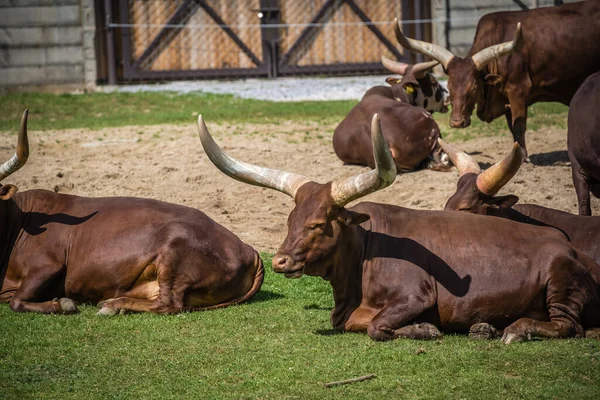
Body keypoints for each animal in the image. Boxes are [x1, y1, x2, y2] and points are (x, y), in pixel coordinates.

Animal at [0, 110, 262, 316]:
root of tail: (249, 250)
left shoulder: (47, 264)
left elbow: (17, 301)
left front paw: (61, 303)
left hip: (175, 254)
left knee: (169, 303)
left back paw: (112, 305)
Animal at [392, 0, 600, 159]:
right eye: (448, 86)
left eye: (472, 88)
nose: (457, 122)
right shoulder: (505, 95)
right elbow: (511, 127)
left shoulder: (518, 91)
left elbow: (518, 126)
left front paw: (523, 157)